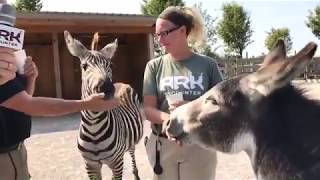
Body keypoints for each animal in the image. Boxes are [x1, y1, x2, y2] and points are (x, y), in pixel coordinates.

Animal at [63, 30, 144, 180]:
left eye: (110, 66)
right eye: (84, 66)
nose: (106, 88)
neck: (94, 127)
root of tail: (122, 83)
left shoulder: (117, 163)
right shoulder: (90, 165)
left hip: (130, 143)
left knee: (132, 153)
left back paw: (136, 174)